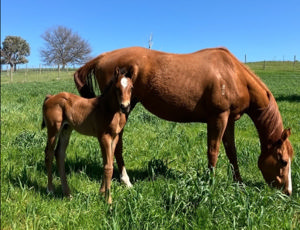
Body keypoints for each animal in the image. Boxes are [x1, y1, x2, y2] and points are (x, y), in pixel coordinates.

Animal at [42, 67, 132, 203]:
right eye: (117, 88)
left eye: (131, 87)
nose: (125, 107)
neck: (108, 108)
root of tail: (51, 97)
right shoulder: (104, 137)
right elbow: (108, 167)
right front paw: (108, 200)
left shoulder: (114, 137)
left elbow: (108, 162)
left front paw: (102, 193)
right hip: (53, 130)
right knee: (49, 154)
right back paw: (50, 190)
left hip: (66, 129)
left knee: (59, 153)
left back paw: (68, 194)